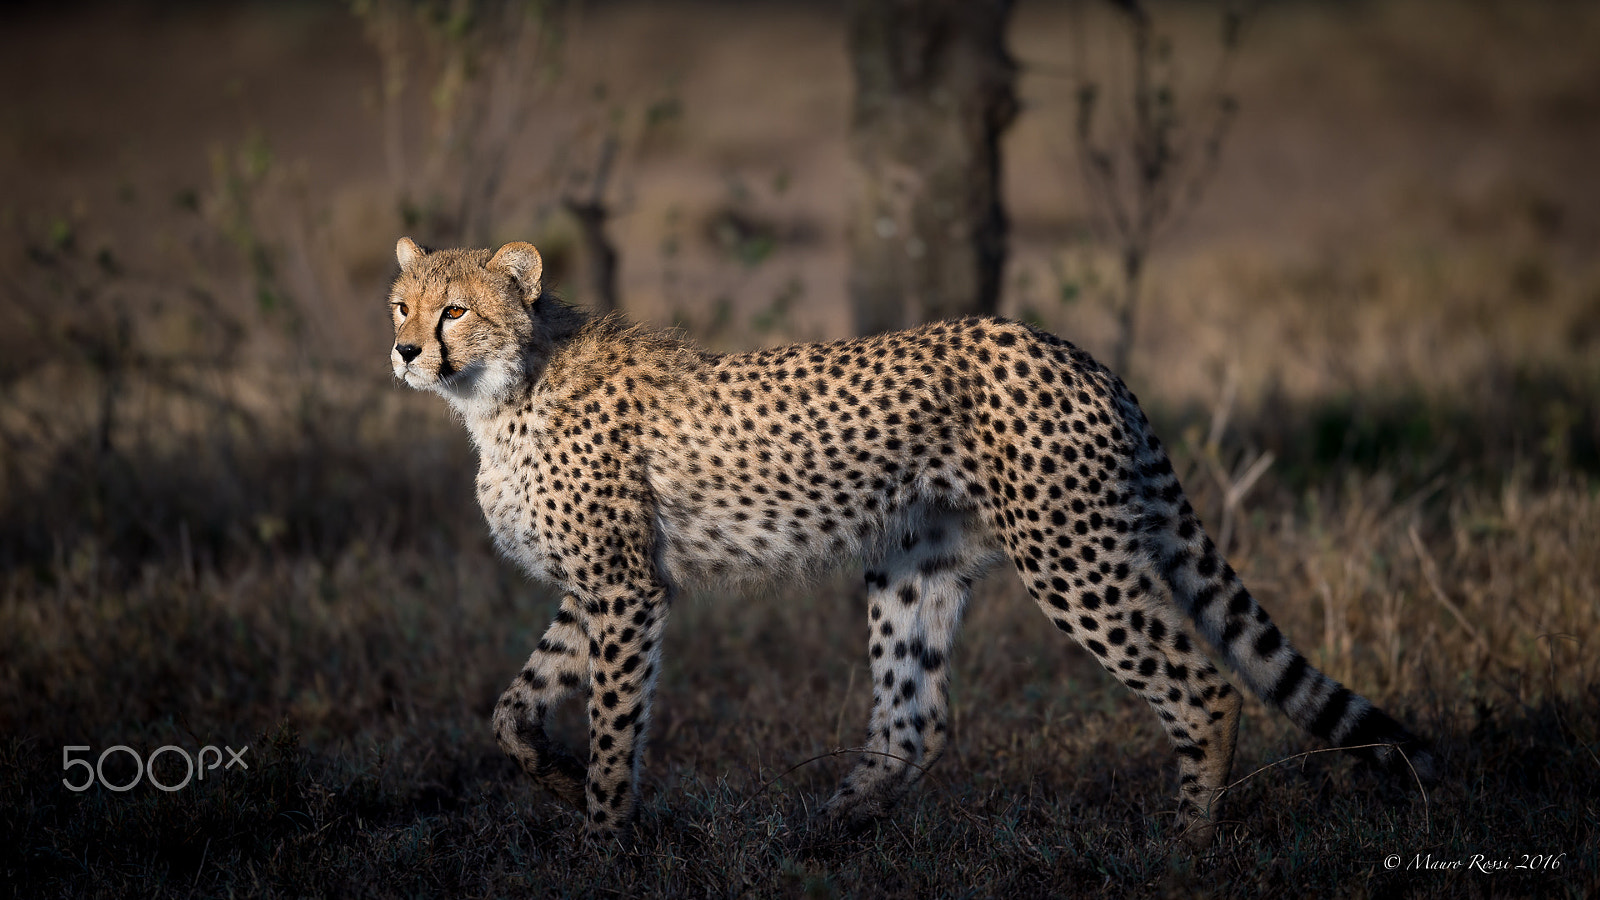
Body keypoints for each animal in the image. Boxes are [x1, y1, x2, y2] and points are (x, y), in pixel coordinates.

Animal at [388, 237, 1438, 849]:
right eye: (402, 303)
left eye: (455, 310)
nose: (402, 352)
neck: (502, 387)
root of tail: (1075, 352)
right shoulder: (604, 588)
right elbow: (510, 709)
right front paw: (559, 785)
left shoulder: (624, 587)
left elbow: (613, 726)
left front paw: (603, 839)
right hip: (914, 561)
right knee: (914, 718)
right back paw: (819, 832)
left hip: (1073, 556)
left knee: (1204, 685)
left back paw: (1180, 850)